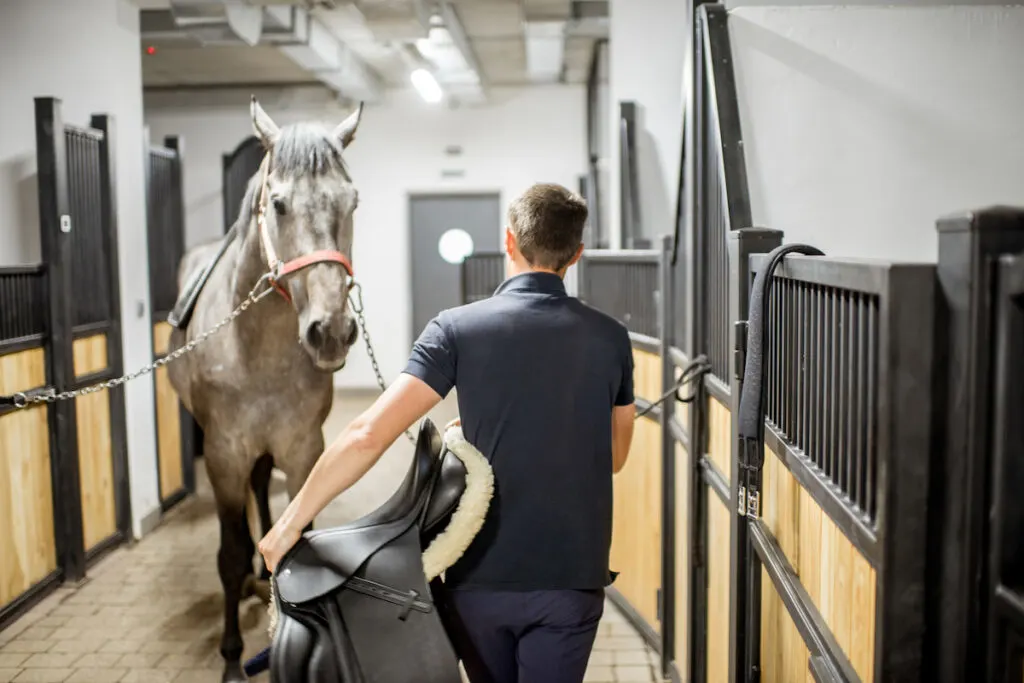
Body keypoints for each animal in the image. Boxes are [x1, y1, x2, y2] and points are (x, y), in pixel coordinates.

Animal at [165, 98, 362, 679]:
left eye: (352, 202)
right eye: (278, 204)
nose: (332, 330)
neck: (257, 349)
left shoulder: (302, 450)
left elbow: (300, 532)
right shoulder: (223, 455)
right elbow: (228, 557)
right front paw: (233, 657)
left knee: (261, 488)